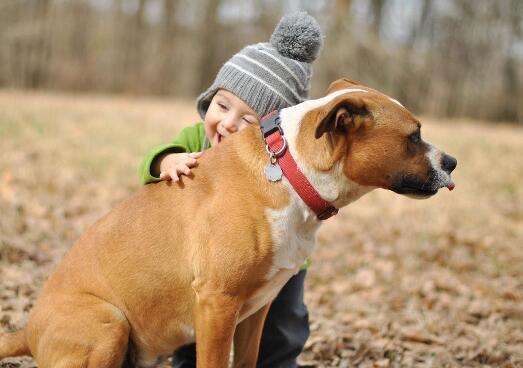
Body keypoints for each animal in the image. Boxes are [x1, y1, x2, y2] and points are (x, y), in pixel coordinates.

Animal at [0, 79, 456, 366]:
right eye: (414, 136)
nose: (452, 162)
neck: (289, 170)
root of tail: (30, 328)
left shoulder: (256, 309)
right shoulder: (217, 304)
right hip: (108, 323)